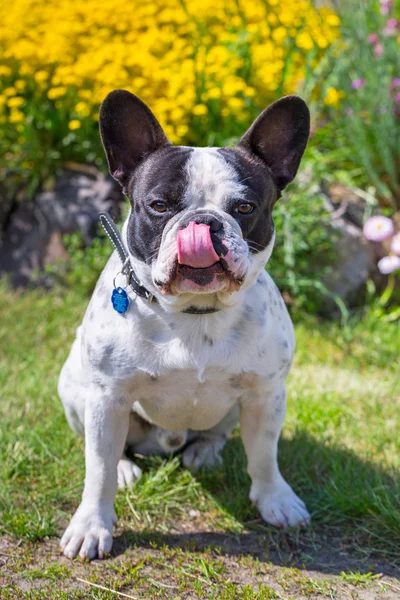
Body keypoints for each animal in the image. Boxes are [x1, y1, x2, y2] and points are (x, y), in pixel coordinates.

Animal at [57, 88, 310, 556]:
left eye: (245, 207)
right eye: (159, 206)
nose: (203, 223)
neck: (196, 313)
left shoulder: (266, 394)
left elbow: (265, 455)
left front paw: (276, 500)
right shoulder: (107, 396)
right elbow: (97, 468)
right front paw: (91, 526)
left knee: (218, 433)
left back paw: (203, 453)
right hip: (77, 389)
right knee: (108, 448)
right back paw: (126, 467)